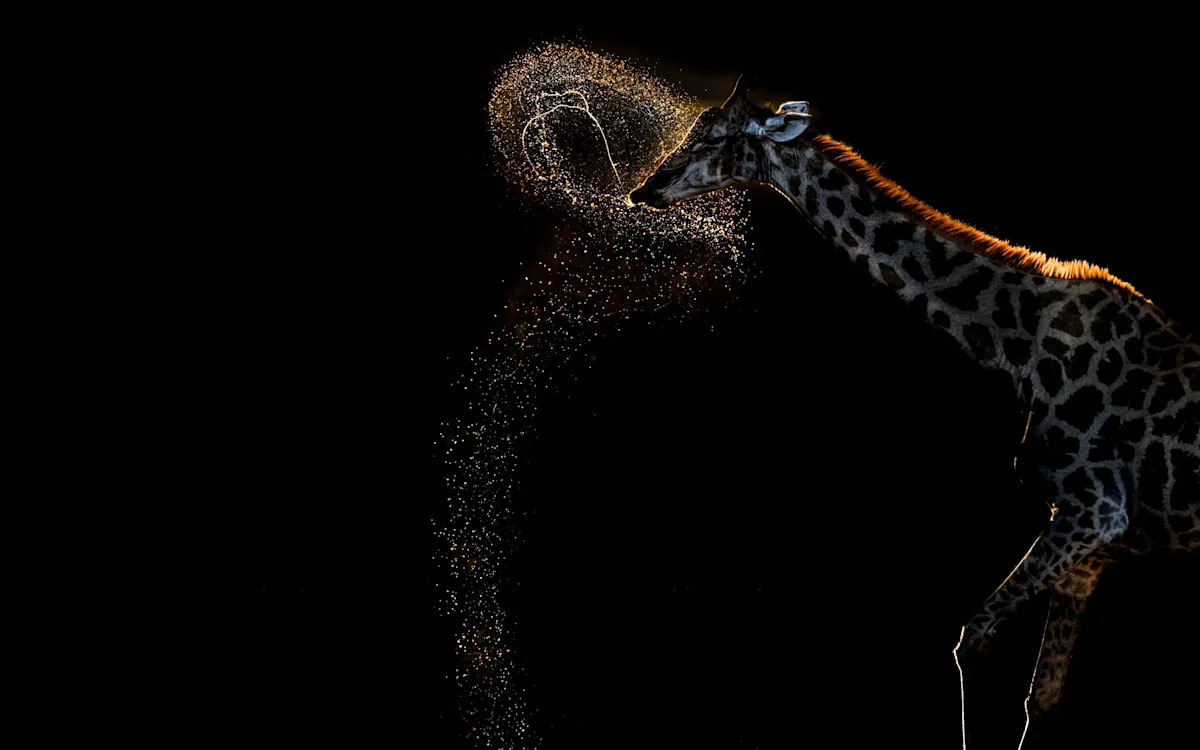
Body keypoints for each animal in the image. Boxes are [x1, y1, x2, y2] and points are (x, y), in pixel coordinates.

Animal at [629, 77, 1200, 736]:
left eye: (713, 137)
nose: (645, 189)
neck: (1019, 347)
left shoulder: (1097, 510)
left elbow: (972, 640)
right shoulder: (1093, 539)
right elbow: (1041, 696)